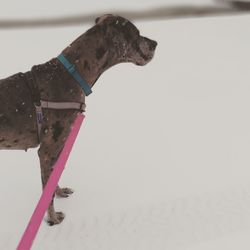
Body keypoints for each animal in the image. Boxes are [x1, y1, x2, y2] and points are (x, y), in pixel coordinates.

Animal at [0, 13, 156, 226]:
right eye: (136, 33)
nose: (155, 43)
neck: (74, 74)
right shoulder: (47, 150)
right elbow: (47, 193)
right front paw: (53, 220)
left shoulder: (59, 147)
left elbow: (54, 178)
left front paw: (59, 193)